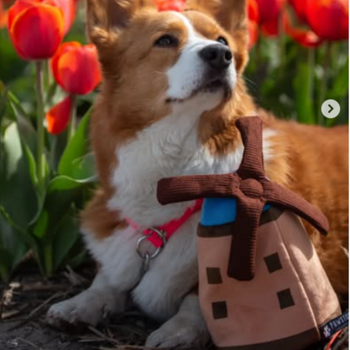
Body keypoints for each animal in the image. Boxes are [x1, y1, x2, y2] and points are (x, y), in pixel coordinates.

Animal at [47, 0, 348, 348]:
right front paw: (80, 304)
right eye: (165, 40)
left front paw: (176, 331)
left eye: (222, 40)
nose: (220, 55)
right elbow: (107, 279)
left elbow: (200, 301)